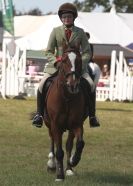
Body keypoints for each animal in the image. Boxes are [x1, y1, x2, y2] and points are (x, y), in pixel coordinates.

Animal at [43, 46, 87, 182]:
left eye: (79, 60)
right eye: (64, 61)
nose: (73, 85)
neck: (67, 97)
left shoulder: (76, 124)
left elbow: (79, 144)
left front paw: (73, 160)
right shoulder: (56, 125)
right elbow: (59, 151)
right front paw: (59, 175)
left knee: (69, 145)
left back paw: (69, 168)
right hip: (49, 125)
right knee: (53, 141)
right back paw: (52, 165)